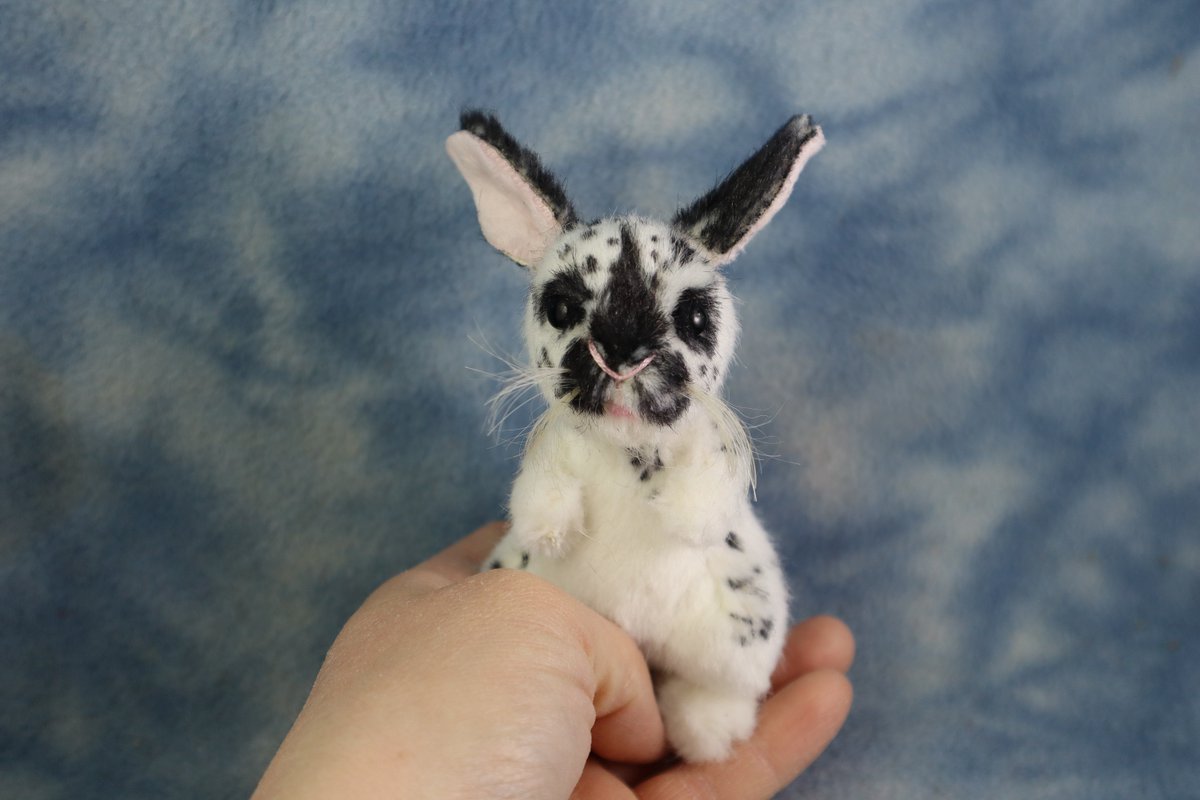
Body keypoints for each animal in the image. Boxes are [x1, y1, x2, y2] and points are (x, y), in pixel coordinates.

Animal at [446, 112, 820, 762]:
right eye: (562, 309)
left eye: (693, 319)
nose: (622, 351)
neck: (624, 445)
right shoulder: (560, 453)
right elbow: (542, 492)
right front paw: (550, 532)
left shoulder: (705, 451)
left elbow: (705, 493)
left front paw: (681, 515)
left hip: (735, 640)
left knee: (718, 689)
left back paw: (708, 733)